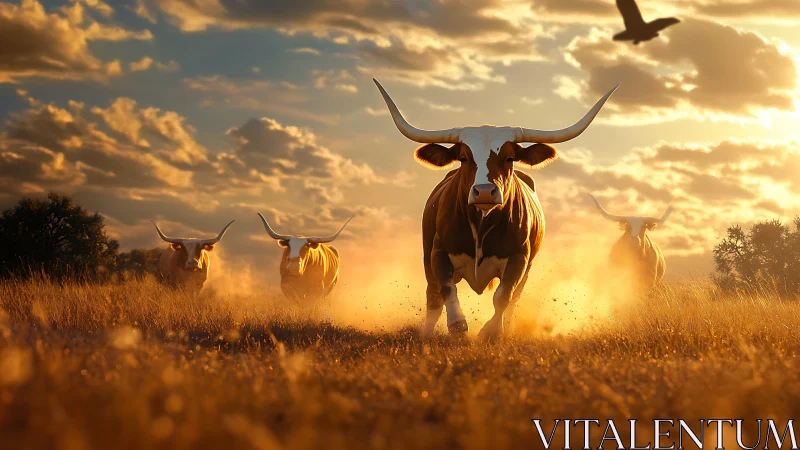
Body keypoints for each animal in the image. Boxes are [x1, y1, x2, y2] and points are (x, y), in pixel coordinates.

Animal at [373, 78, 619, 341]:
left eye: (510, 157)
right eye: (463, 157)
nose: (483, 191)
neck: (481, 224)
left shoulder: (519, 258)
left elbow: (503, 296)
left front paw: (490, 331)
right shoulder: (437, 253)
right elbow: (446, 290)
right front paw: (457, 325)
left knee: (513, 299)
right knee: (433, 297)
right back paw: (427, 334)